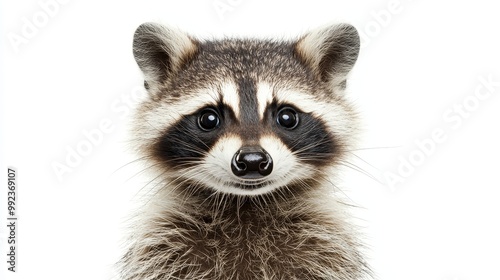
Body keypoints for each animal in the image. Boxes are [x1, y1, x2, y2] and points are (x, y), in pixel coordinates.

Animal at [121, 22, 370, 280]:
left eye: (287, 117)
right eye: (209, 119)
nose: (252, 160)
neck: (247, 204)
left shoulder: (326, 249)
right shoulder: (162, 249)